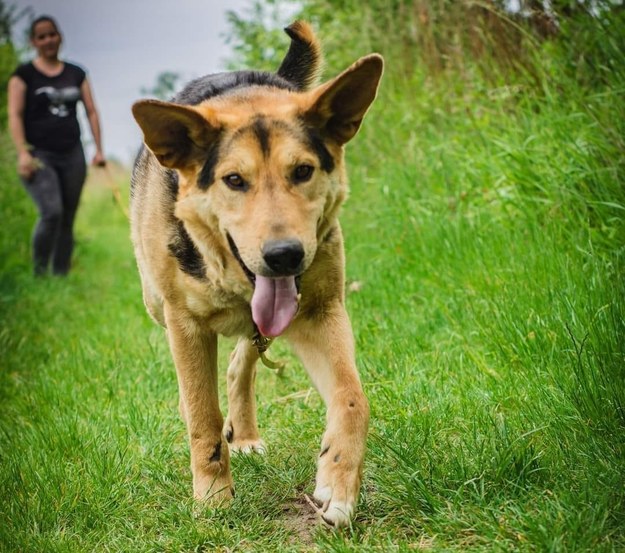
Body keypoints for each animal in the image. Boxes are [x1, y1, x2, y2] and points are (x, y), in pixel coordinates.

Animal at [130, 19, 382, 524]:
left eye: (303, 171)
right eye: (233, 180)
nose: (284, 255)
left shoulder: (320, 312)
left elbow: (352, 398)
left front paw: (338, 484)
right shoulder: (185, 324)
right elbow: (203, 416)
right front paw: (212, 499)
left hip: (268, 322)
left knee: (240, 363)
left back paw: (244, 434)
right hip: (157, 304)